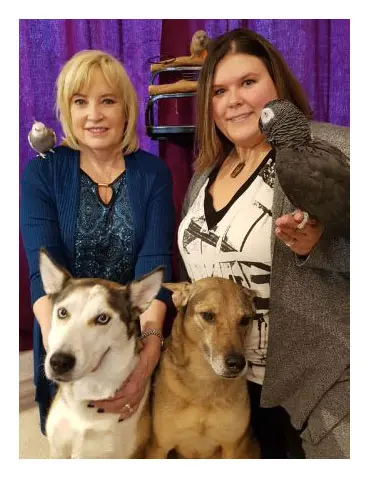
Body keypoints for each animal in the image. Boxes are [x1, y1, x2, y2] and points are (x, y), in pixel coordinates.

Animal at [148, 278, 260, 458]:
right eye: (208, 316)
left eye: (245, 319)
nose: (237, 364)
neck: (205, 378)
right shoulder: (159, 447)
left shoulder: (231, 447)